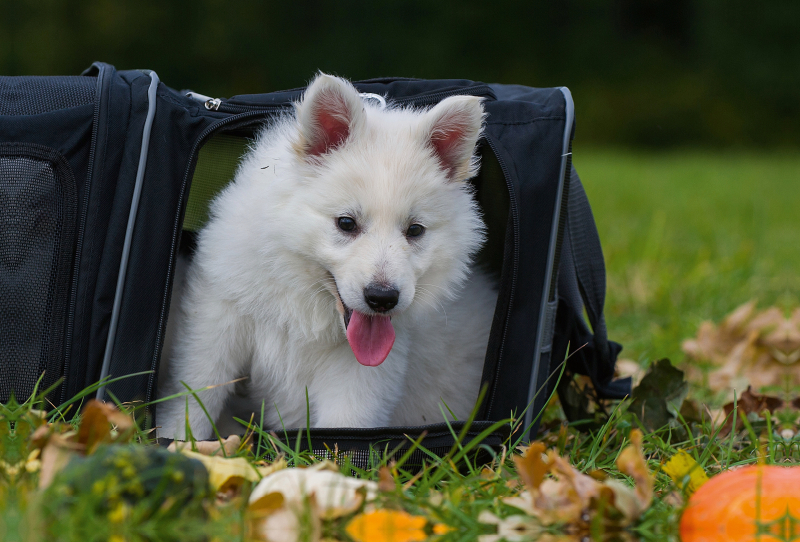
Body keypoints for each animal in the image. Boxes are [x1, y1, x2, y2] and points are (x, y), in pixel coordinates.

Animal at [157, 72, 496, 442]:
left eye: (415, 230)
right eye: (346, 223)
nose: (382, 299)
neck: (307, 302)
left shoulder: (364, 373)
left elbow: (345, 428)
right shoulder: (217, 320)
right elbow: (197, 391)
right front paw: (176, 441)